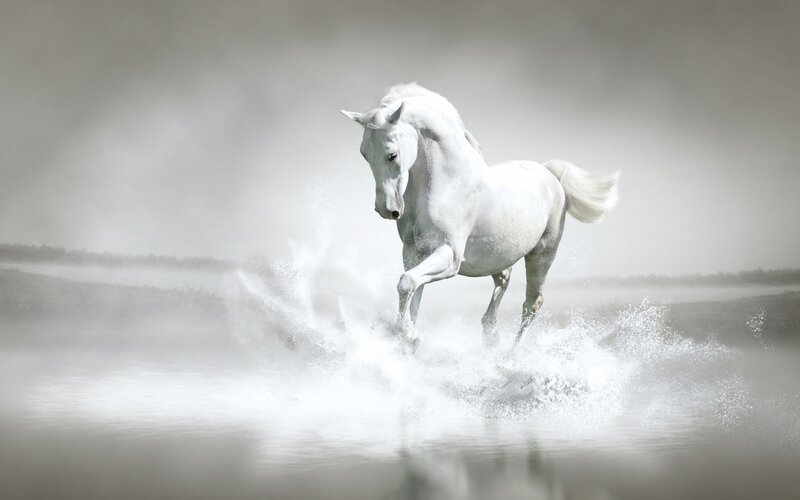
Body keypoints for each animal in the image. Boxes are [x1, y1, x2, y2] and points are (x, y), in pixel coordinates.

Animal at [342, 83, 619, 349]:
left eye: (392, 154)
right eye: (364, 153)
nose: (386, 209)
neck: (448, 184)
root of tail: (550, 174)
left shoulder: (449, 256)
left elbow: (407, 283)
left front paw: (410, 336)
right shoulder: (413, 252)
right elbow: (413, 292)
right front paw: (408, 339)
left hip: (541, 255)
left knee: (531, 305)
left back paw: (510, 355)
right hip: (497, 256)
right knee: (504, 280)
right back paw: (490, 335)